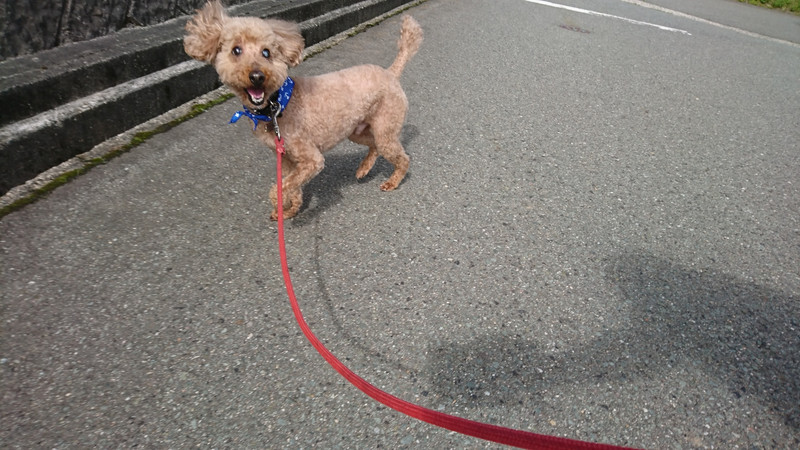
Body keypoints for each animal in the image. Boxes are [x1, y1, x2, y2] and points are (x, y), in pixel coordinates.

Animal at [184, 1, 423, 219]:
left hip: (385, 126)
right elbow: (292, 186)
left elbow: (278, 189)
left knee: (401, 157)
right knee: (374, 145)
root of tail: (390, 72)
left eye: (266, 53)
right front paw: (291, 209)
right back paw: (364, 168)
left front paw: (281, 208)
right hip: (356, 130)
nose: (257, 76)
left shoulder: (310, 160)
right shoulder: (288, 158)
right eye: (236, 50)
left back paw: (393, 181)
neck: (277, 105)